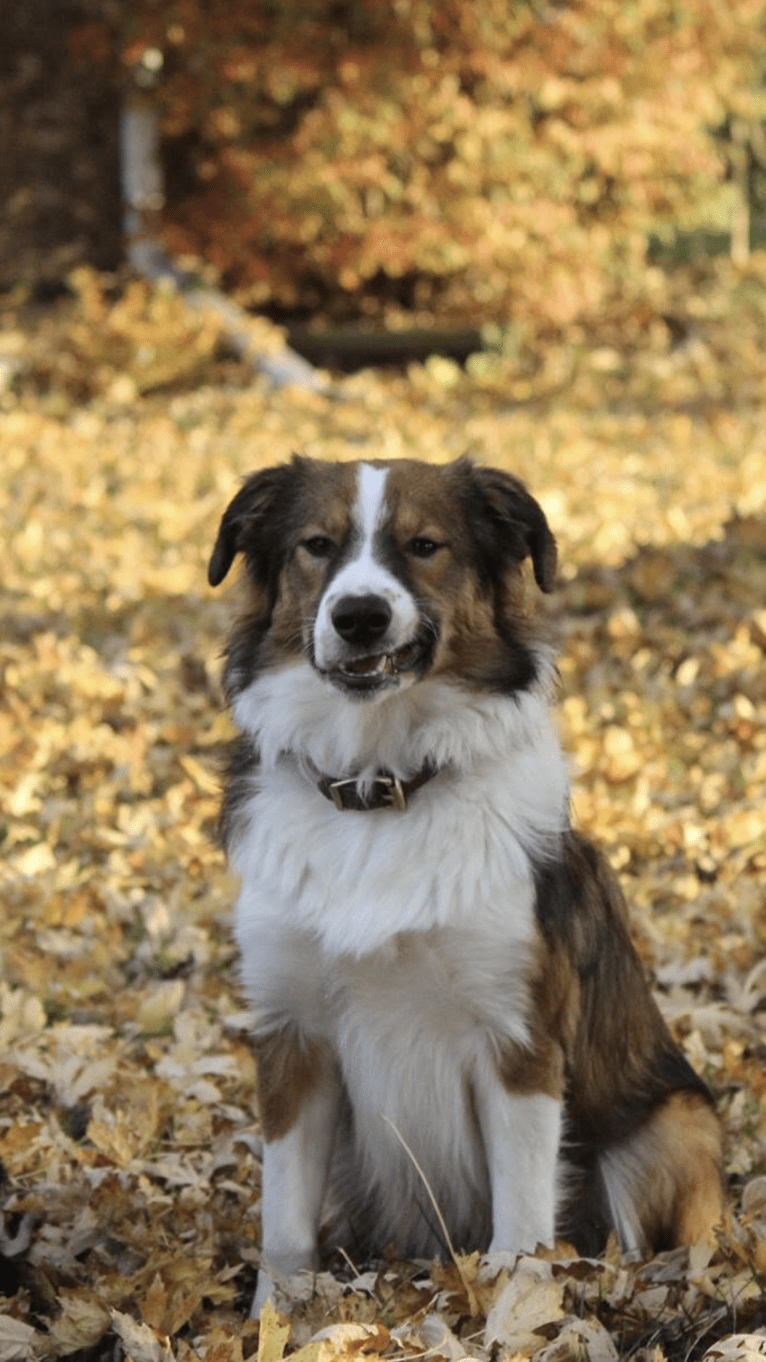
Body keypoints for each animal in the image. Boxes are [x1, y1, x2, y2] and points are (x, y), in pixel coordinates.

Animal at [208, 460, 719, 1318]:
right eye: (317, 545)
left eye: (424, 546)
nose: (359, 617)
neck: (379, 790)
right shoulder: (293, 1038)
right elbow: (284, 1227)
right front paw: (273, 1322)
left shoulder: (518, 1039)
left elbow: (522, 1228)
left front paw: (517, 1319)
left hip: (675, 1122)